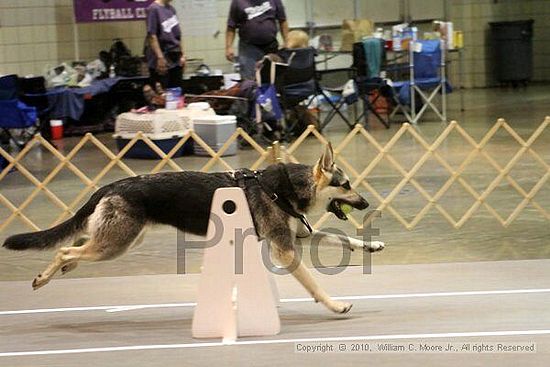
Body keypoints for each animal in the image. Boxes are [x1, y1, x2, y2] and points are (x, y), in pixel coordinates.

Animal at [3, 144, 384, 314]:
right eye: (346, 185)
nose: (365, 203)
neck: (288, 187)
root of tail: (113, 184)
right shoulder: (285, 248)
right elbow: (314, 284)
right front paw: (334, 305)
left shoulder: (298, 234)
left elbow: (342, 238)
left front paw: (370, 246)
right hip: (116, 245)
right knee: (66, 248)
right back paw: (45, 276)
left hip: (121, 240)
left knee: (79, 244)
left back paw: (65, 268)